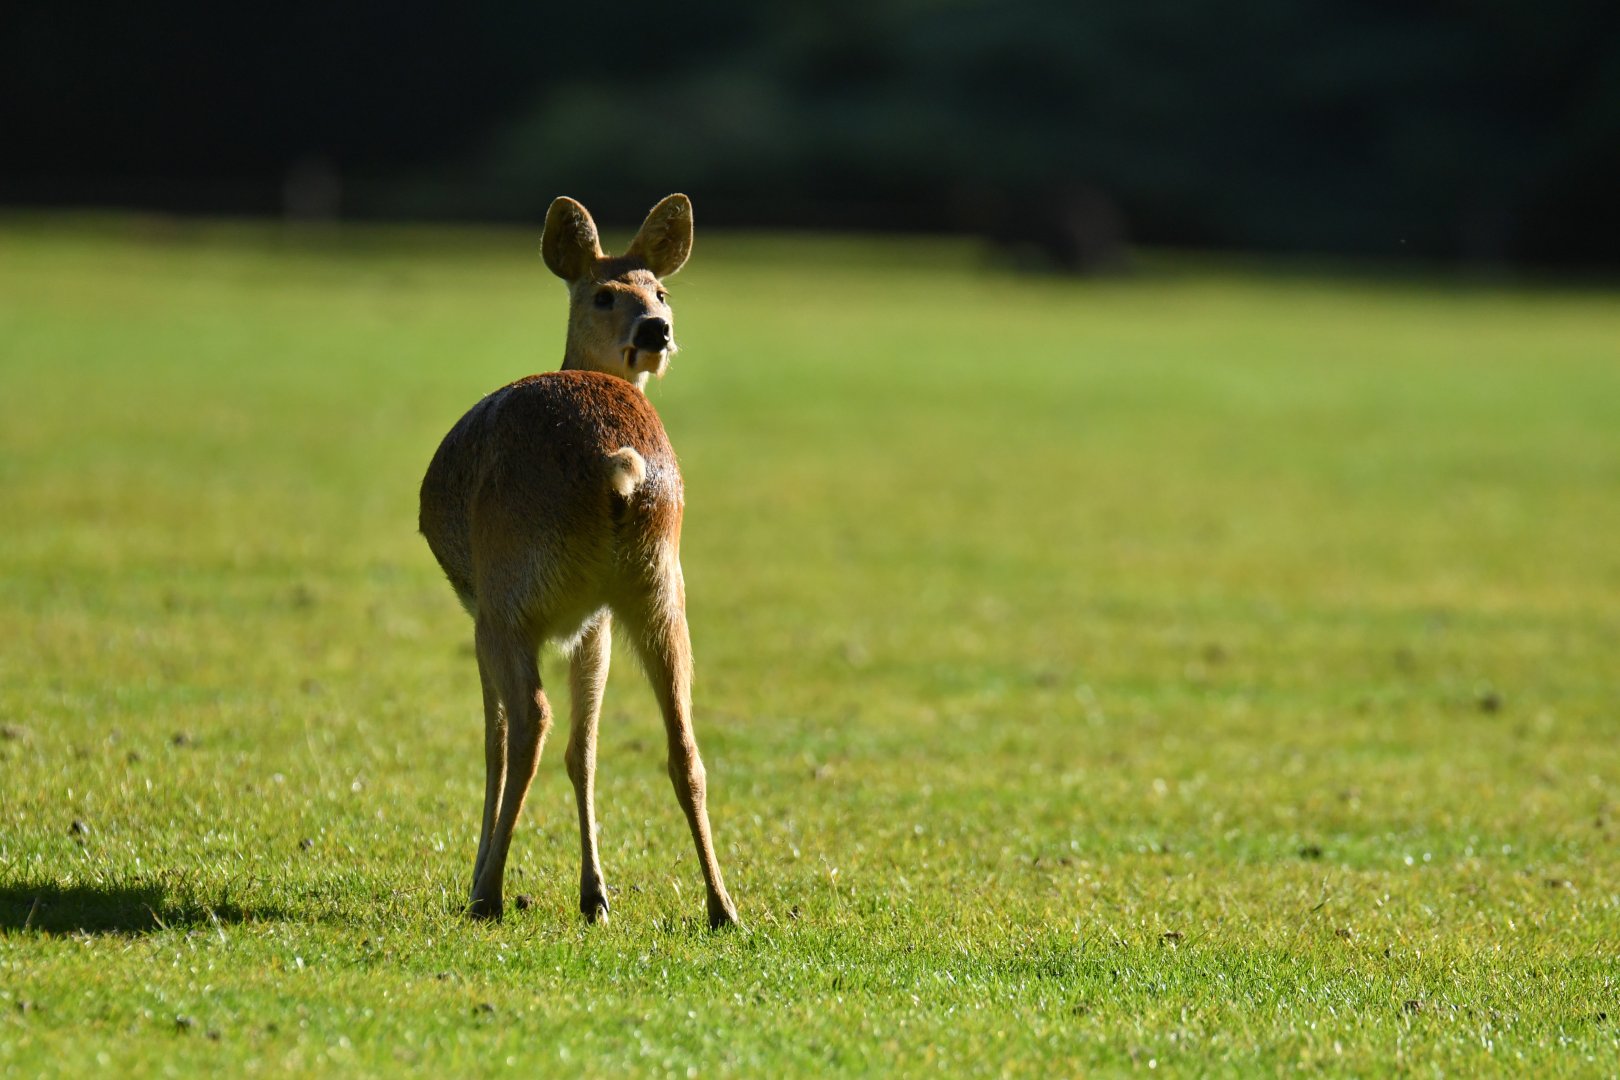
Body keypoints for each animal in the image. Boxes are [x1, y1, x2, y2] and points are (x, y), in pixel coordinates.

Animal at [418, 193, 739, 929]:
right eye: (604, 294)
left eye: (661, 291)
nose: (657, 328)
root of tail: (618, 468)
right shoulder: (593, 622)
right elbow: (587, 751)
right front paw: (596, 894)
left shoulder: (489, 612)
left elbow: (496, 739)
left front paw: (489, 874)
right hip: (654, 585)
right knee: (682, 743)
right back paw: (722, 907)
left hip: (509, 593)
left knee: (527, 723)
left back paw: (487, 892)